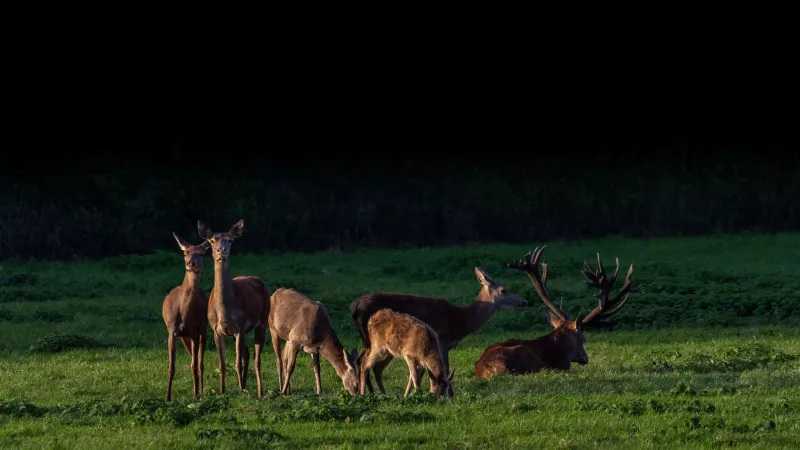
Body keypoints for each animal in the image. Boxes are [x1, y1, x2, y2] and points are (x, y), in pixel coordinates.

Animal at [162, 232, 210, 402]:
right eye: (185, 253)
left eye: (201, 253)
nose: (191, 263)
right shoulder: (172, 331)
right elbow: (171, 367)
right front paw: (167, 397)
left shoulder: (195, 331)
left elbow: (194, 365)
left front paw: (195, 395)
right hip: (185, 337)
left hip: (204, 330)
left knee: (200, 363)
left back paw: (200, 392)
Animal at [198, 219, 271, 399]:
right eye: (212, 240)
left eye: (230, 240)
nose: (221, 251)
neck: (225, 311)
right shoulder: (216, 329)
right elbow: (222, 363)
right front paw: (223, 391)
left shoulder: (241, 326)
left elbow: (237, 363)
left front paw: (240, 390)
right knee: (247, 354)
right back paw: (245, 384)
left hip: (263, 320)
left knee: (257, 359)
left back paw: (259, 391)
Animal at [350, 267, 527, 395]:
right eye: (503, 290)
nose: (524, 302)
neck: (461, 321)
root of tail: (354, 306)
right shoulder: (442, 339)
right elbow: (445, 367)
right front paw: (447, 393)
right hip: (370, 339)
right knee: (364, 362)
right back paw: (367, 393)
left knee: (366, 363)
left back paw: (374, 393)